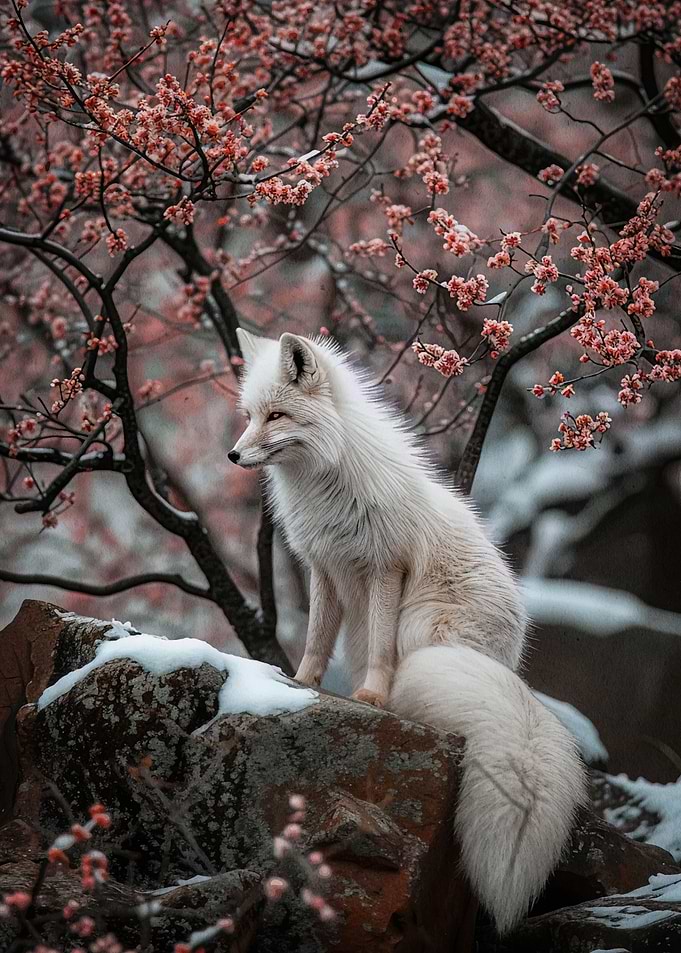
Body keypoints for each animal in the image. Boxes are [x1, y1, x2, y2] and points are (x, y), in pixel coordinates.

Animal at [229, 328, 587, 934]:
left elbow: (378, 646)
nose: (233, 454)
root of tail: (510, 670)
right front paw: (300, 681)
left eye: (277, 416)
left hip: (422, 626)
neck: (324, 485)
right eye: (251, 416)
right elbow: (316, 641)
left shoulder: (383, 569)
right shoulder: (324, 568)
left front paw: (371, 696)